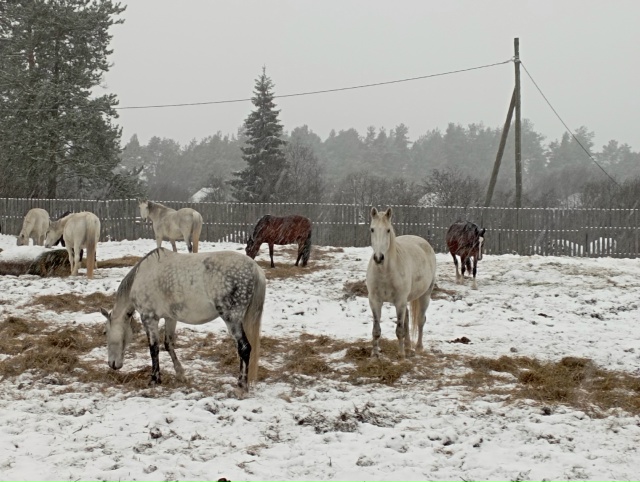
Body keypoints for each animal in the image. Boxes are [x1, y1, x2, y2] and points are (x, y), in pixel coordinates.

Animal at [100, 248, 266, 393]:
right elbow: (168, 344)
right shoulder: (170, 318)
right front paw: (180, 374)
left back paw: (242, 385)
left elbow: (154, 349)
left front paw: (154, 379)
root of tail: (255, 268)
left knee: (244, 347)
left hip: (232, 318)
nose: (112, 364)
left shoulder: (149, 318)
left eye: (106, 333)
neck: (142, 276)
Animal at [366, 207, 437, 359]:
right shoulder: (374, 300)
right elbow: (376, 329)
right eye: (372, 229)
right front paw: (374, 354)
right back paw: (409, 346)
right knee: (408, 319)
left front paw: (400, 354)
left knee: (420, 320)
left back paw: (418, 348)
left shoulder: (399, 301)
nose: (378, 258)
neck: (385, 272)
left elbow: (399, 329)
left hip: (425, 295)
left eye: (388, 230)